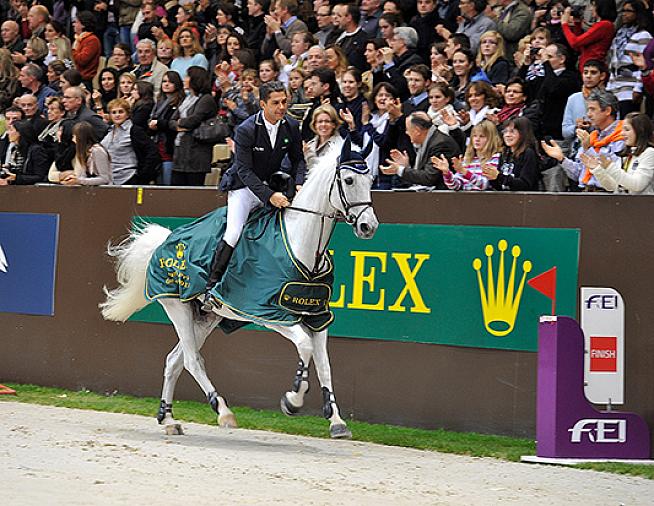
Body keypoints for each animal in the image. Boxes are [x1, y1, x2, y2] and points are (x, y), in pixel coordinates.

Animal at [99, 140, 379, 439]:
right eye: (349, 180)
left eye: (371, 180)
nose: (368, 226)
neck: (301, 244)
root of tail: (166, 240)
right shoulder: (271, 315)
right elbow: (304, 347)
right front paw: (292, 400)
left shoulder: (318, 317)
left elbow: (325, 366)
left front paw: (337, 421)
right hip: (177, 308)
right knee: (191, 360)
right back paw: (223, 411)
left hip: (206, 318)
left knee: (174, 361)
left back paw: (169, 419)